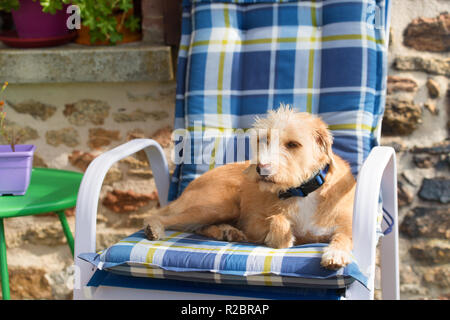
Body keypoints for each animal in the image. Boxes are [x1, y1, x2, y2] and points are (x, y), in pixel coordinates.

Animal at [144, 106, 356, 268]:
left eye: (293, 144)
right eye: (265, 140)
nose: (260, 168)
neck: (302, 191)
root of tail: (188, 188)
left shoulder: (344, 226)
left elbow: (344, 237)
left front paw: (335, 254)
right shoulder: (253, 223)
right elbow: (278, 221)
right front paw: (282, 236)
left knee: (197, 227)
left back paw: (227, 232)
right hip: (220, 206)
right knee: (165, 217)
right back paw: (154, 228)